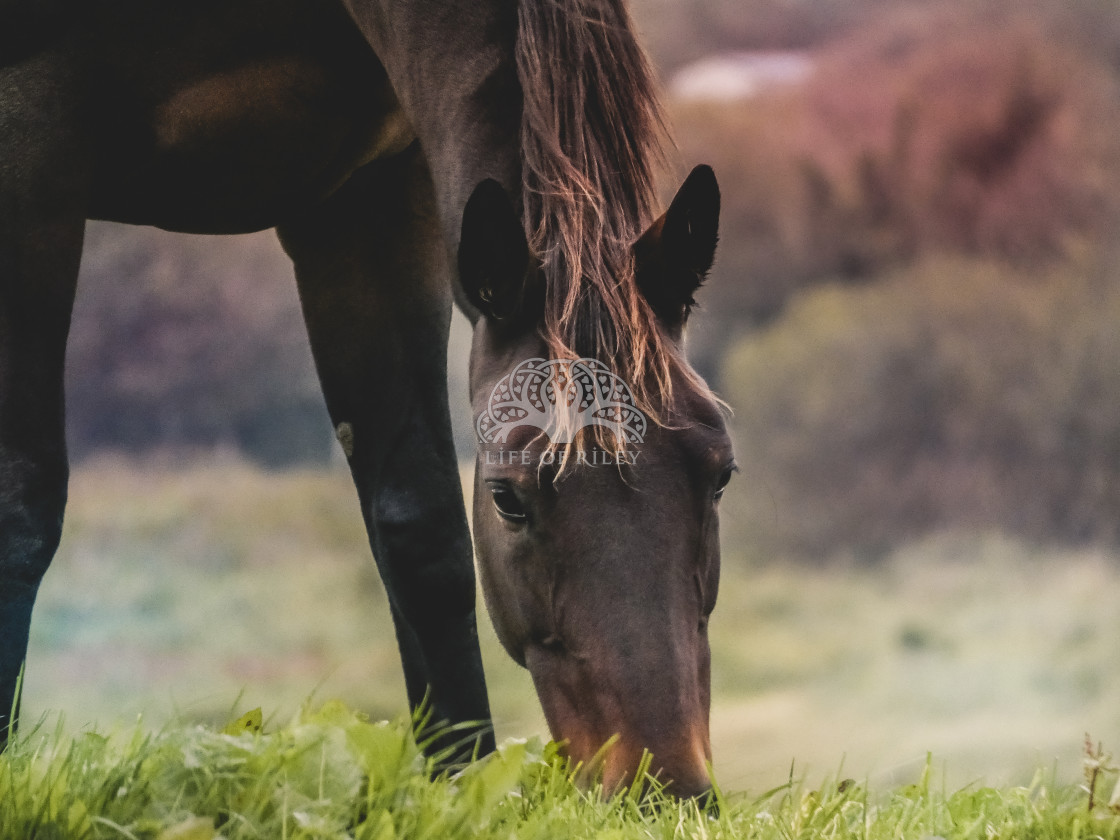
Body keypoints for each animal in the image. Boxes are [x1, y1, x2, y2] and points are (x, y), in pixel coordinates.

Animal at [0, 0, 730, 797]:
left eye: (721, 473)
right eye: (508, 498)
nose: (666, 785)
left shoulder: (368, 197)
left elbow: (422, 529)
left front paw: (459, 788)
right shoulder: (28, 152)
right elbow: (22, 511)